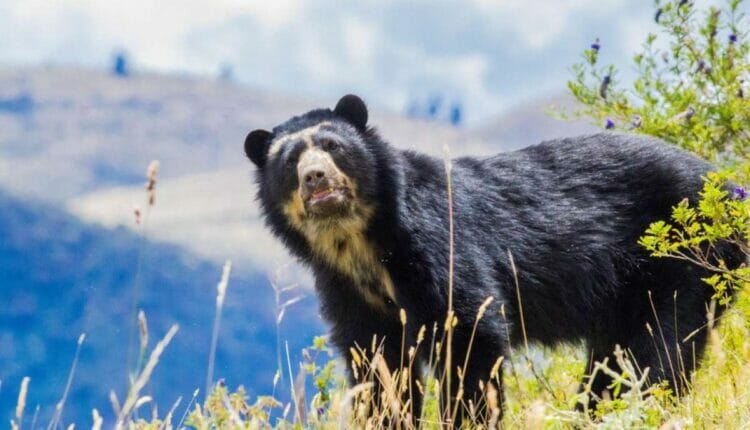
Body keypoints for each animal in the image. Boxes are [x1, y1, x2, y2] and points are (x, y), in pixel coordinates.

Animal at [245, 95, 748, 426]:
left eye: (333, 147)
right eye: (290, 160)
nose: (315, 178)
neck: (359, 242)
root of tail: (728, 188)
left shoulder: (438, 244)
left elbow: (469, 336)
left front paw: (466, 418)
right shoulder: (347, 288)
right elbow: (377, 364)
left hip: (681, 260)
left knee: (656, 352)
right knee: (616, 359)